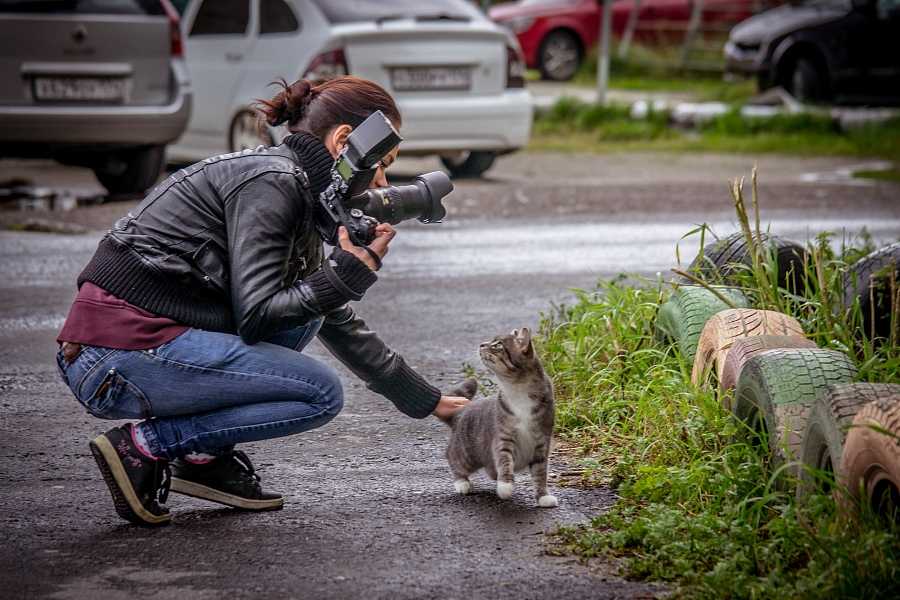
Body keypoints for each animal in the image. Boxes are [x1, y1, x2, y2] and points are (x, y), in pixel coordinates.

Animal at [442, 328, 556, 506]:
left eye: (499, 345)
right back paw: (462, 483)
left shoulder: (542, 442)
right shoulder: (503, 437)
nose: (481, 344)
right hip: (465, 454)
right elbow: (505, 460)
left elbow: (540, 473)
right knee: (452, 459)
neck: (517, 390)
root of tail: (460, 412)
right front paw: (505, 486)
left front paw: (543, 496)